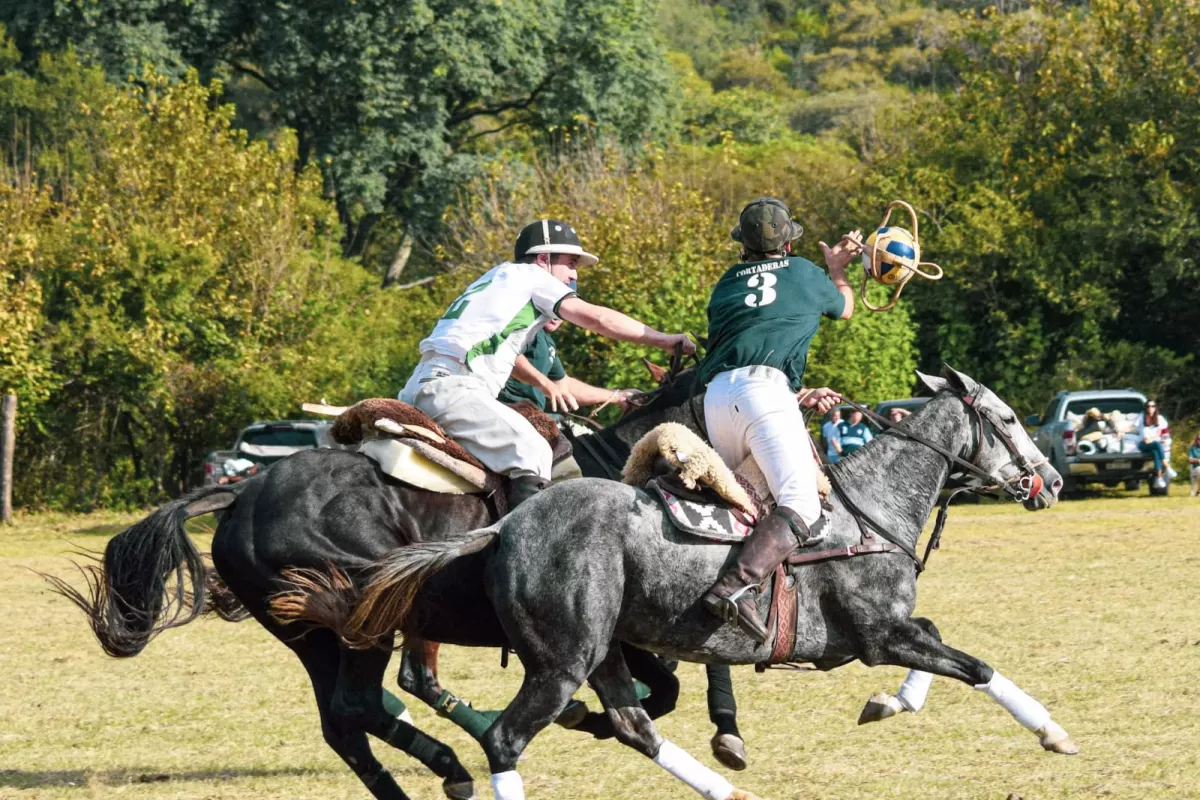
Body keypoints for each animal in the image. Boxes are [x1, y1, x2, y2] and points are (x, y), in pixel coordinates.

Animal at [49, 367, 729, 796]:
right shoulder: (611, 633)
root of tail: (242, 493)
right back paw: (453, 762)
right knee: (361, 703)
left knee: (345, 721)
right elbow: (664, 688)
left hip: (313, 632)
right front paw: (594, 718)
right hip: (361, 614)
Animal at [321, 369, 1080, 800]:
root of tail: (507, 525)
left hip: (602, 650)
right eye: (1008, 419)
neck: (871, 506)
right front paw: (1054, 732)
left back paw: (721, 788)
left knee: (633, 725)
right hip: (562, 659)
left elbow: (943, 650)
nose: (1052, 482)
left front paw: (888, 703)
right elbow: (977, 666)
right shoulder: (878, 634)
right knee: (506, 740)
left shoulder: (890, 633)